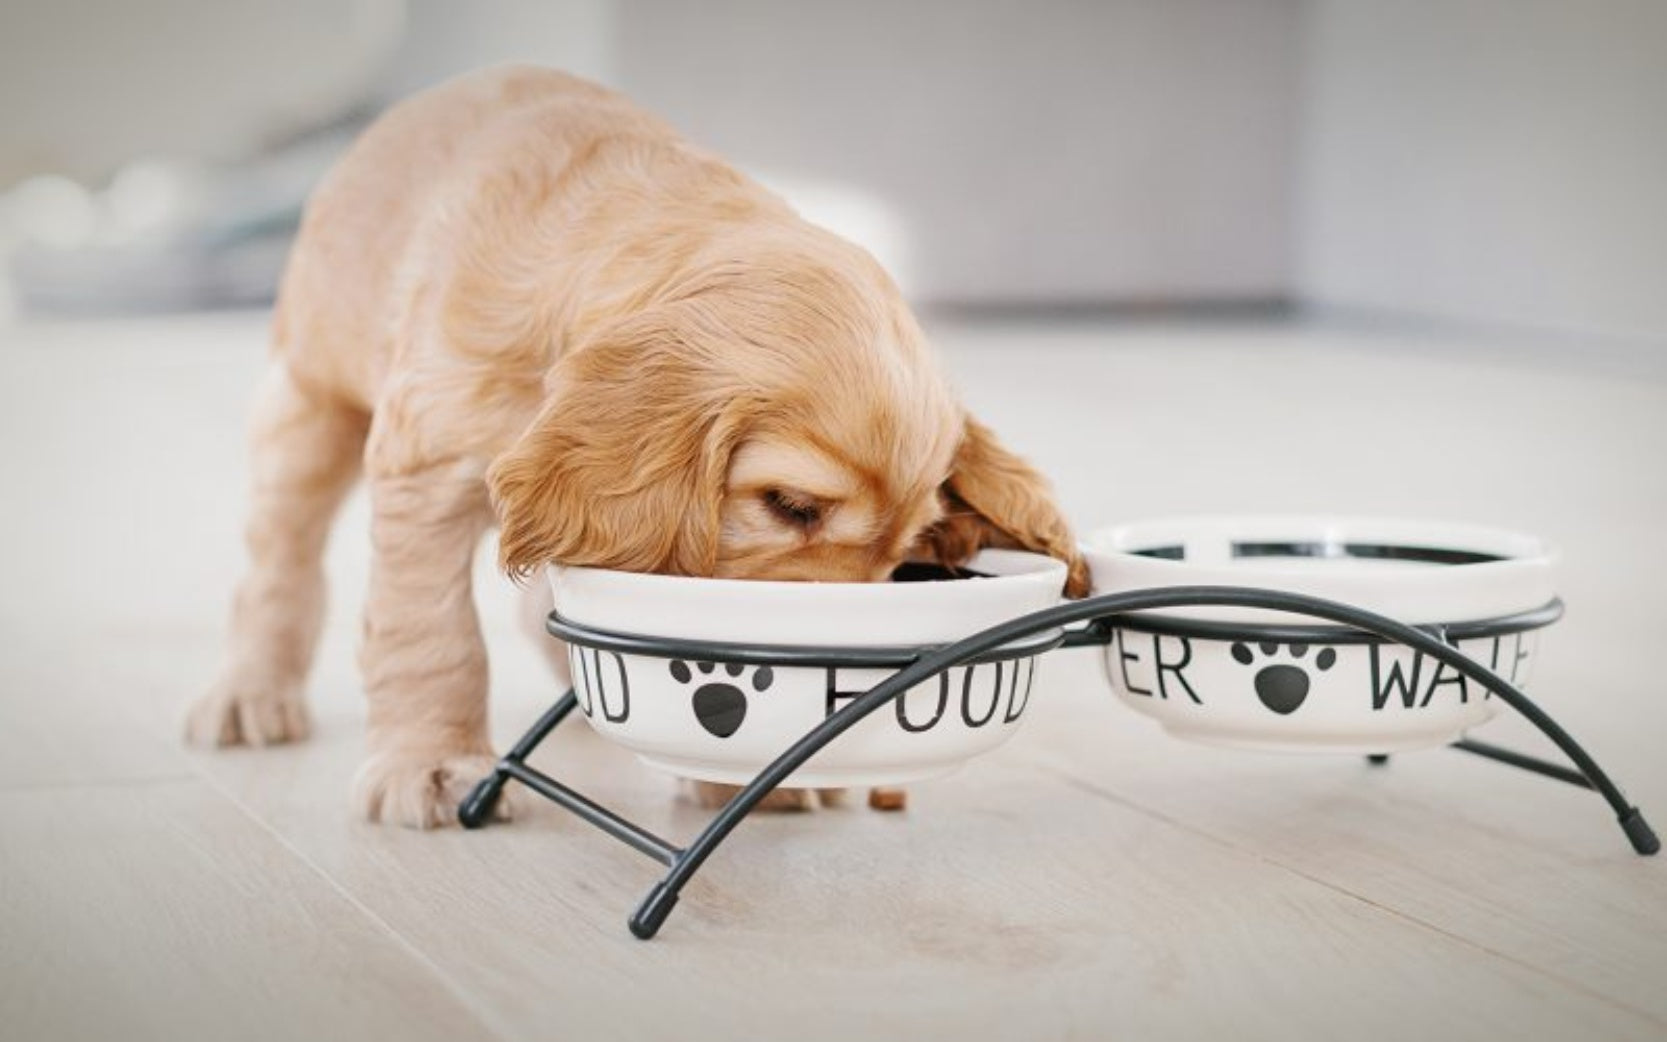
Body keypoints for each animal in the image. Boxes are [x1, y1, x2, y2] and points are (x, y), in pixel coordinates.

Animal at [185, 69, 1093, 823]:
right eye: (789, 505)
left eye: (905, 554)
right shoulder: (427, 463)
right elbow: (430, 633)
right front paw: (431, 765)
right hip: (309, 401)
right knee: (279, 563)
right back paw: (248, 694)